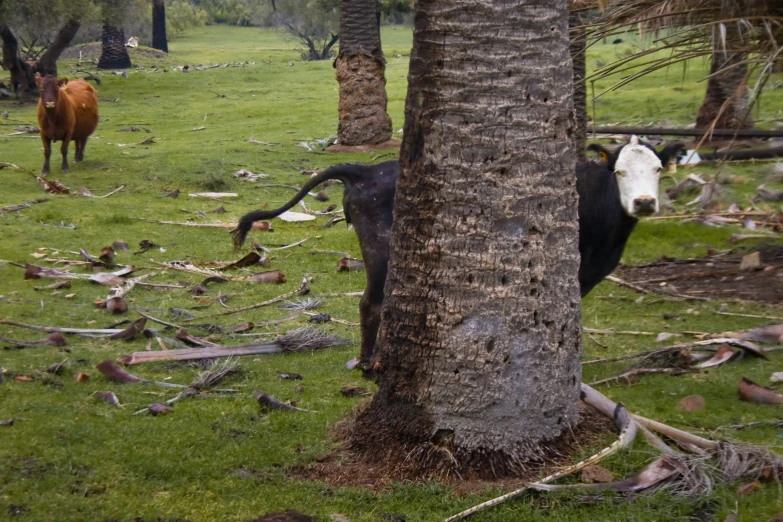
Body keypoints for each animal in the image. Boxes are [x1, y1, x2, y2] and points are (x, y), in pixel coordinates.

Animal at [234, 137, 688, 366]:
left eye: (658, 169)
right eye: (620, 171)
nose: (644, 202)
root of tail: (365, 169)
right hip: (381, 253)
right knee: (370, 304)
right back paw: (367, 363)